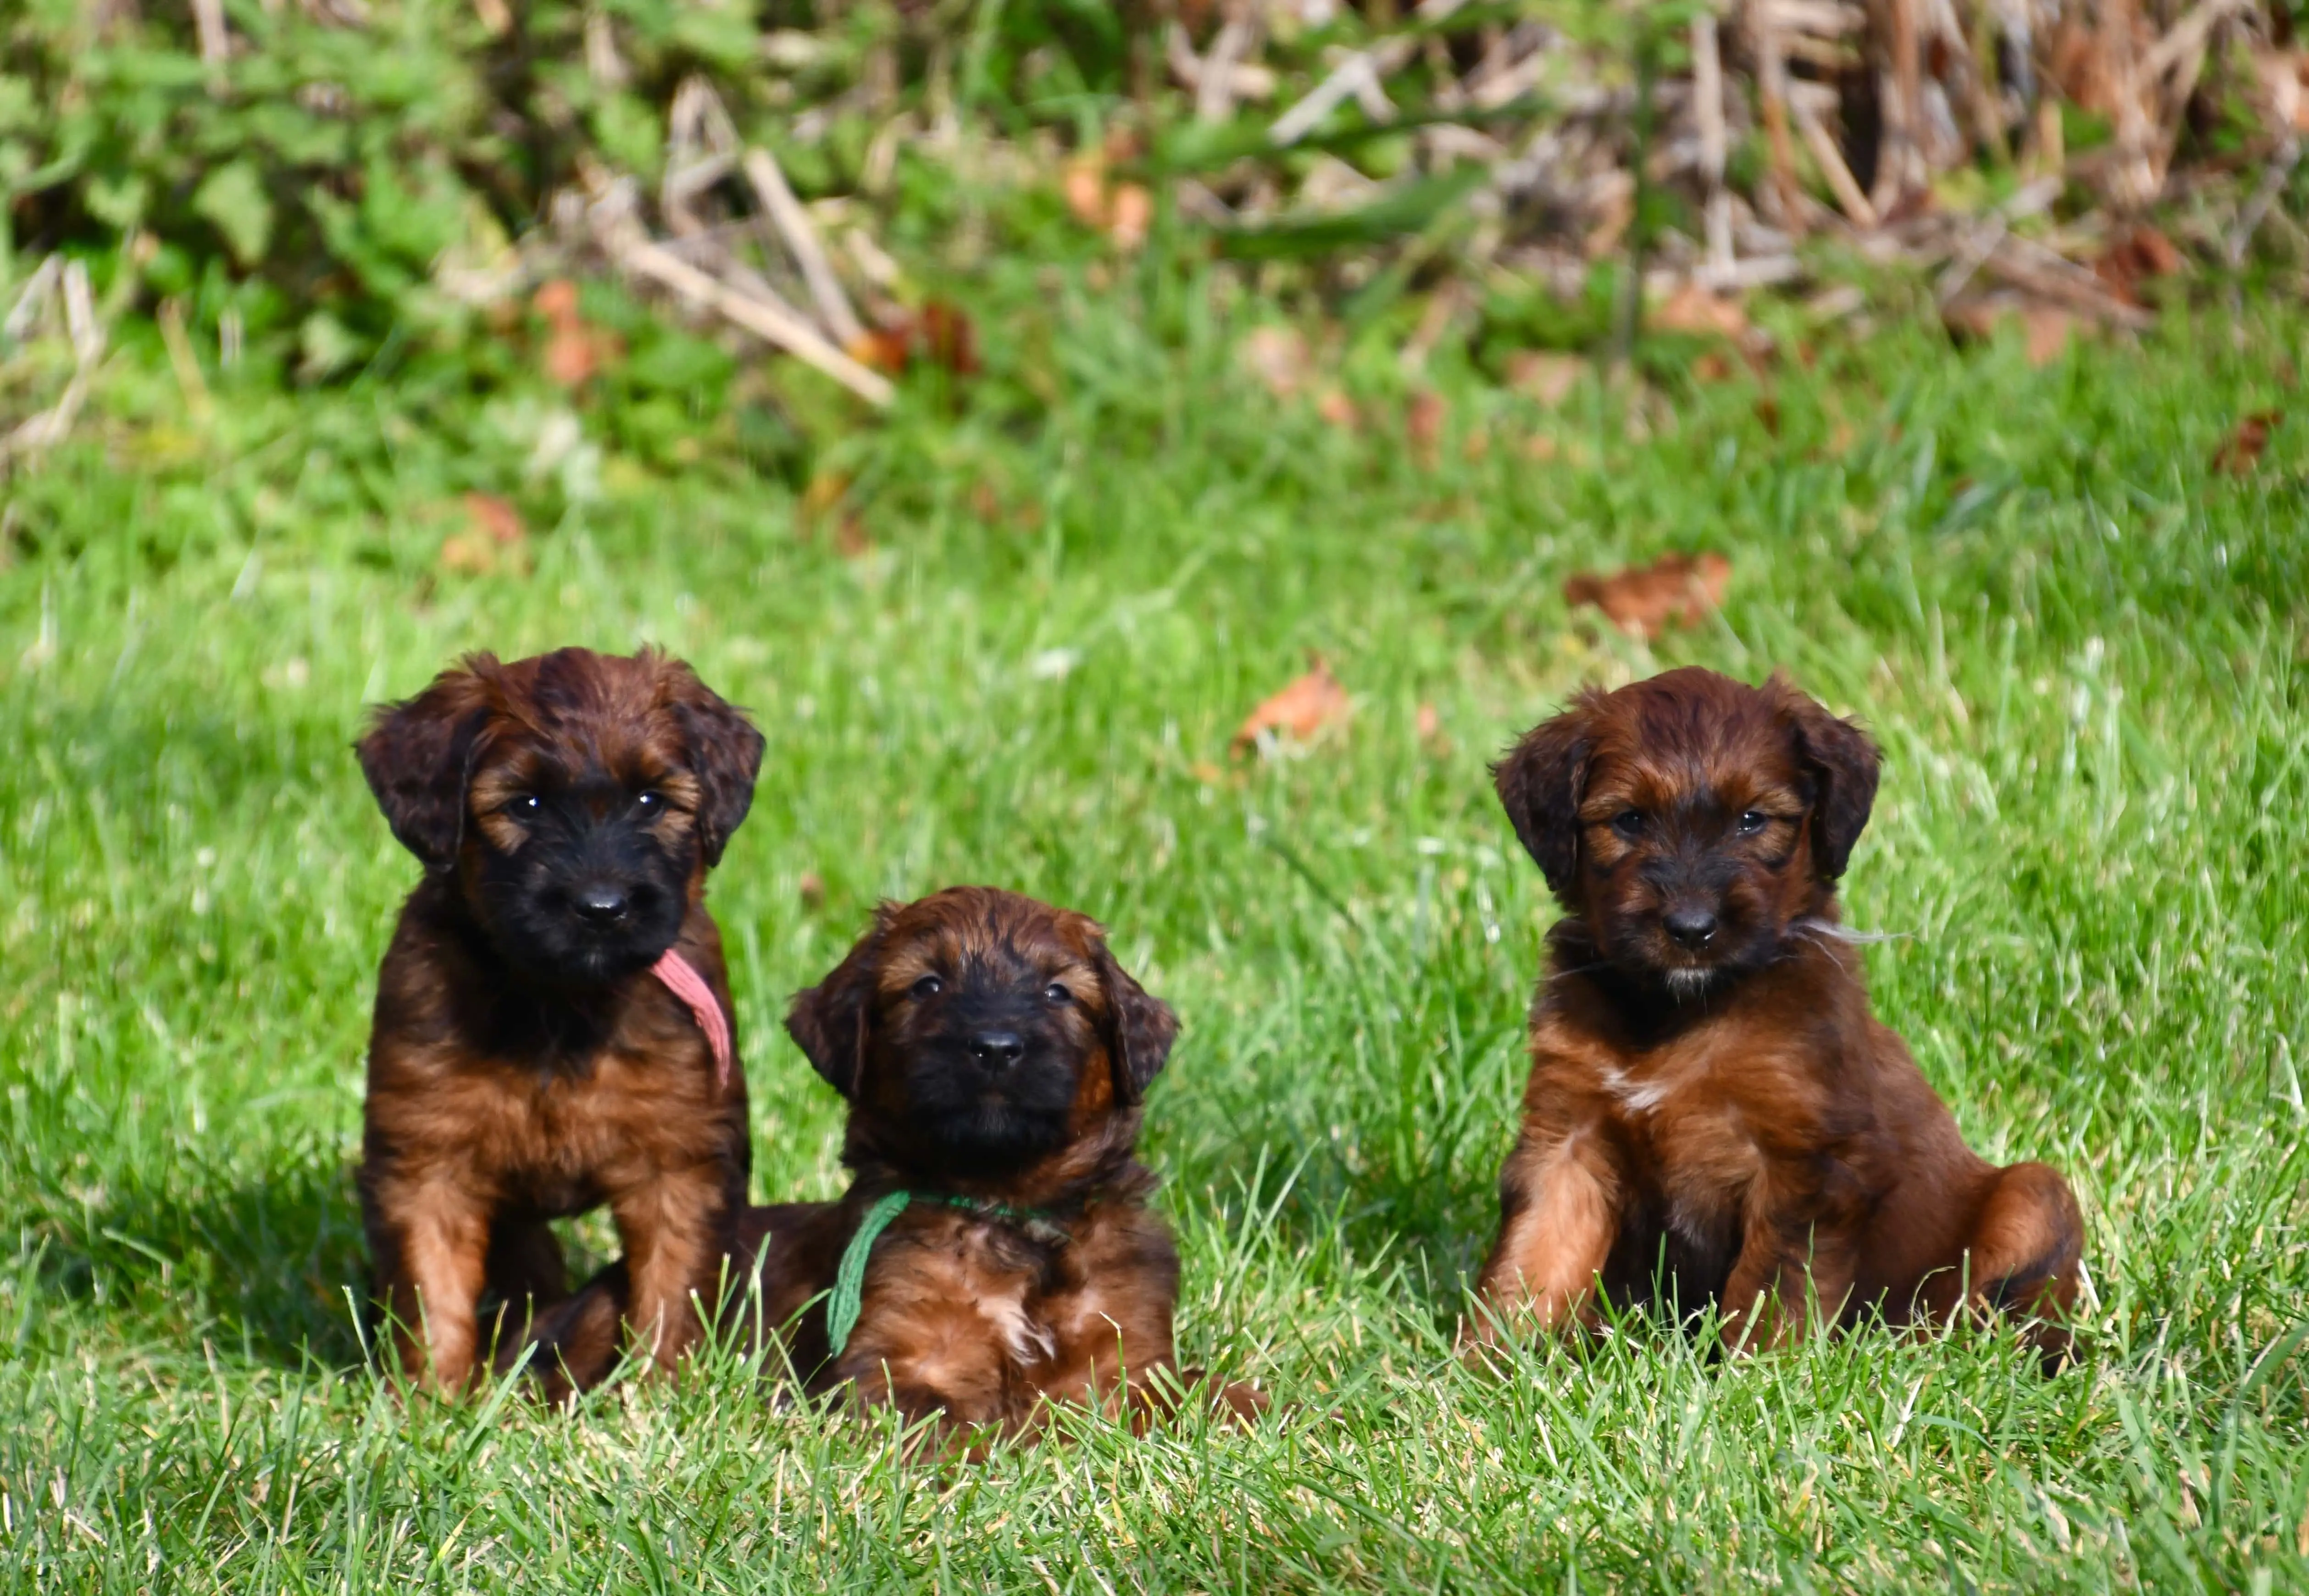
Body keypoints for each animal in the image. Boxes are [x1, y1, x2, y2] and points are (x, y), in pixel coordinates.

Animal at [353, 651, 766, 1395]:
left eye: (651, 801)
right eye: (527, 804)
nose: (601, 908)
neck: (561, 1001)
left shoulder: (682, 1161)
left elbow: (672, 1291)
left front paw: (660, 1399)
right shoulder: (427, 1159)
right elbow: (432, 1293)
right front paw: (431, 1402)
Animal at [519, 887, 1265, 1432]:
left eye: (1059, 993)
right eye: (927, 985)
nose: (996, 1048)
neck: (1006, 1209)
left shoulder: (1128, 1352)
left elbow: (1189, 1391)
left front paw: (1252, 1410)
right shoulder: (896, 1362)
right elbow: (946, 1418)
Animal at [1468, 670, 2087, 1367]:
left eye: (1751, 820)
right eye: (1628, 820)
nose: (1691, 930)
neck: (1677, 1013)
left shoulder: (1806, 1162)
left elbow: (1773, 1286)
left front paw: (1756, 1374)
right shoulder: (1566, 1140)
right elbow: (1530, 1262)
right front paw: (1484, 1369)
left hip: (2033, 1198)